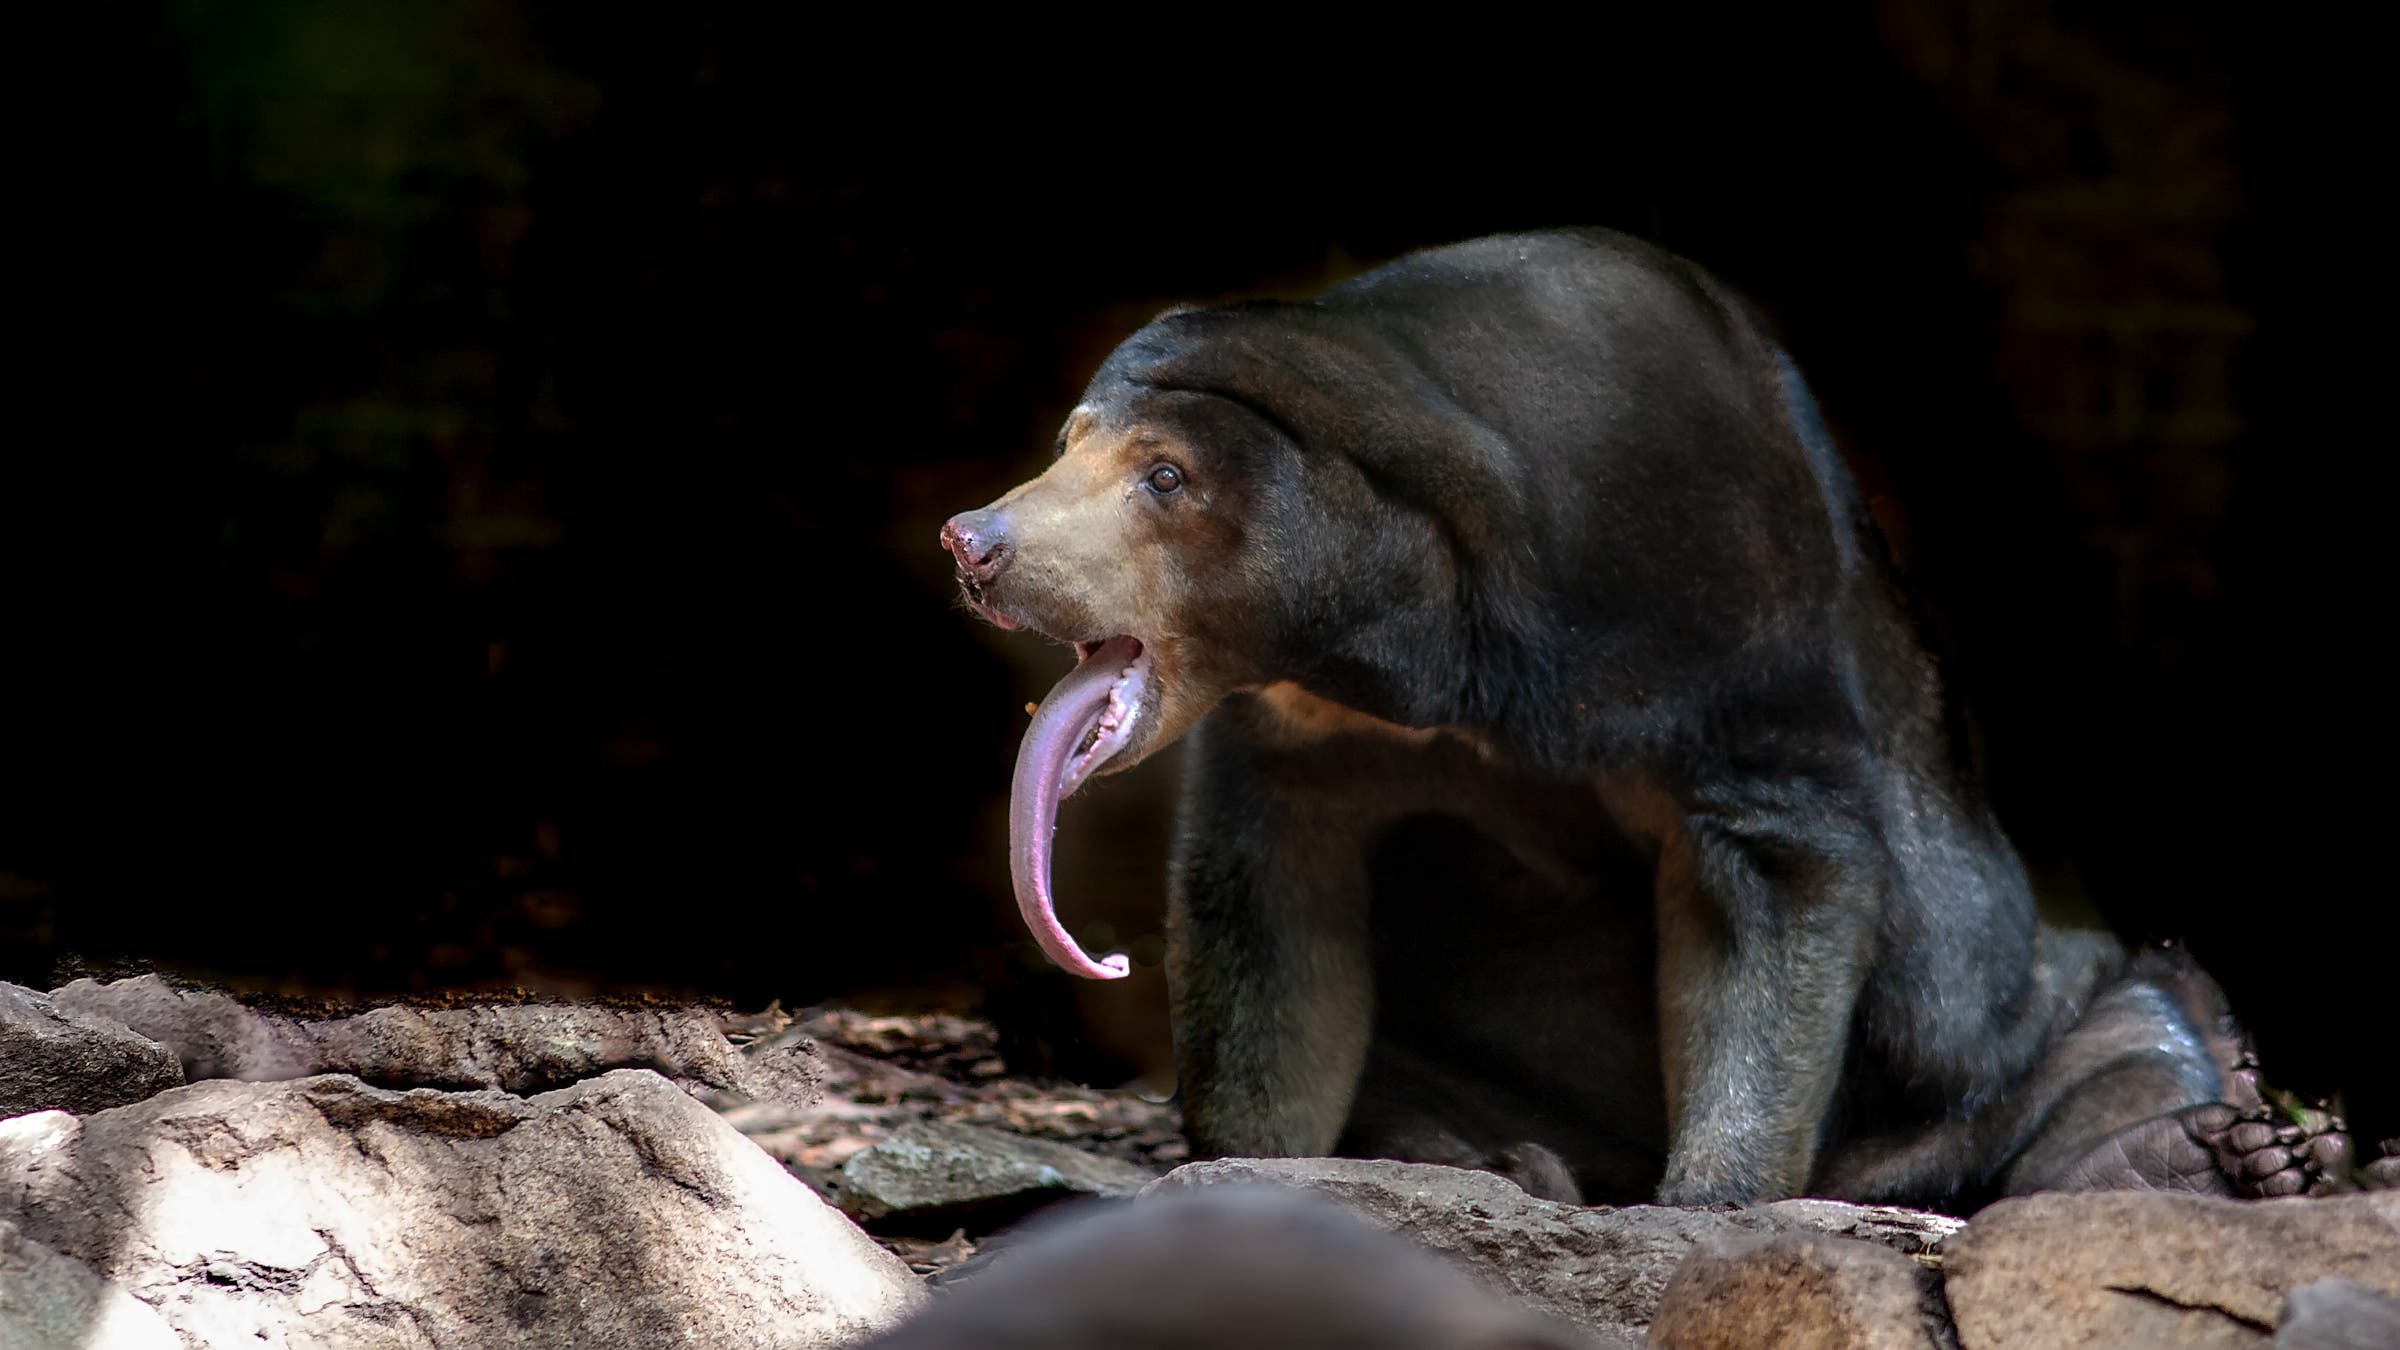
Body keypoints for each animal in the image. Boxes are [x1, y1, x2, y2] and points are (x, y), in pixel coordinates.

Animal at [942, 227, 2312, 1209]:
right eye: (1067, 444)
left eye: (1166, 479)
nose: (975, 543)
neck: (1408, 641)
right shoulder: (1300, 729)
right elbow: (1272, 920)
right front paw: (1252, 1165)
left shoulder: (1708, 620)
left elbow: (1772, 893)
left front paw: (1712, 1202)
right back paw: (1495, 1167)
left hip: (2000, 1022)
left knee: (2128, 1024)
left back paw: (2207, 1156)